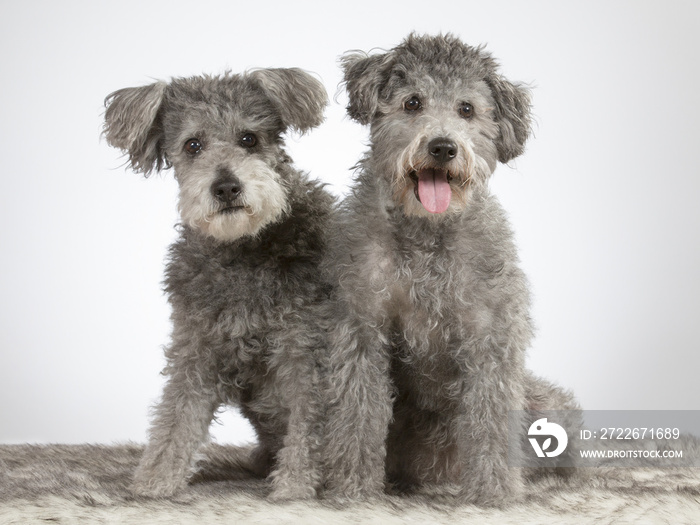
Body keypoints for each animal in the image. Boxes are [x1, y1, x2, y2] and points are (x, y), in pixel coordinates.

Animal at [102, 68, 334, 500]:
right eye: (193, 145)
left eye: (249, 138)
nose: (226, 187)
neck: (242, 249)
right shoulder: (196, 348)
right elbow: (176, 416)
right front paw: (155, 480)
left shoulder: (306, 352)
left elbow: (310, 423)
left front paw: (295, 485)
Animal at [324, 33, 580, 508]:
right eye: (412, 102)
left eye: (466, 109)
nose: (443, 147)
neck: (427, 235)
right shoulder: (361, 329)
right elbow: (357, 413)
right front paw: (353, 489)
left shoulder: (490, 337)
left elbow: (490, 416)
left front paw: (493, 494)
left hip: (548, 403)